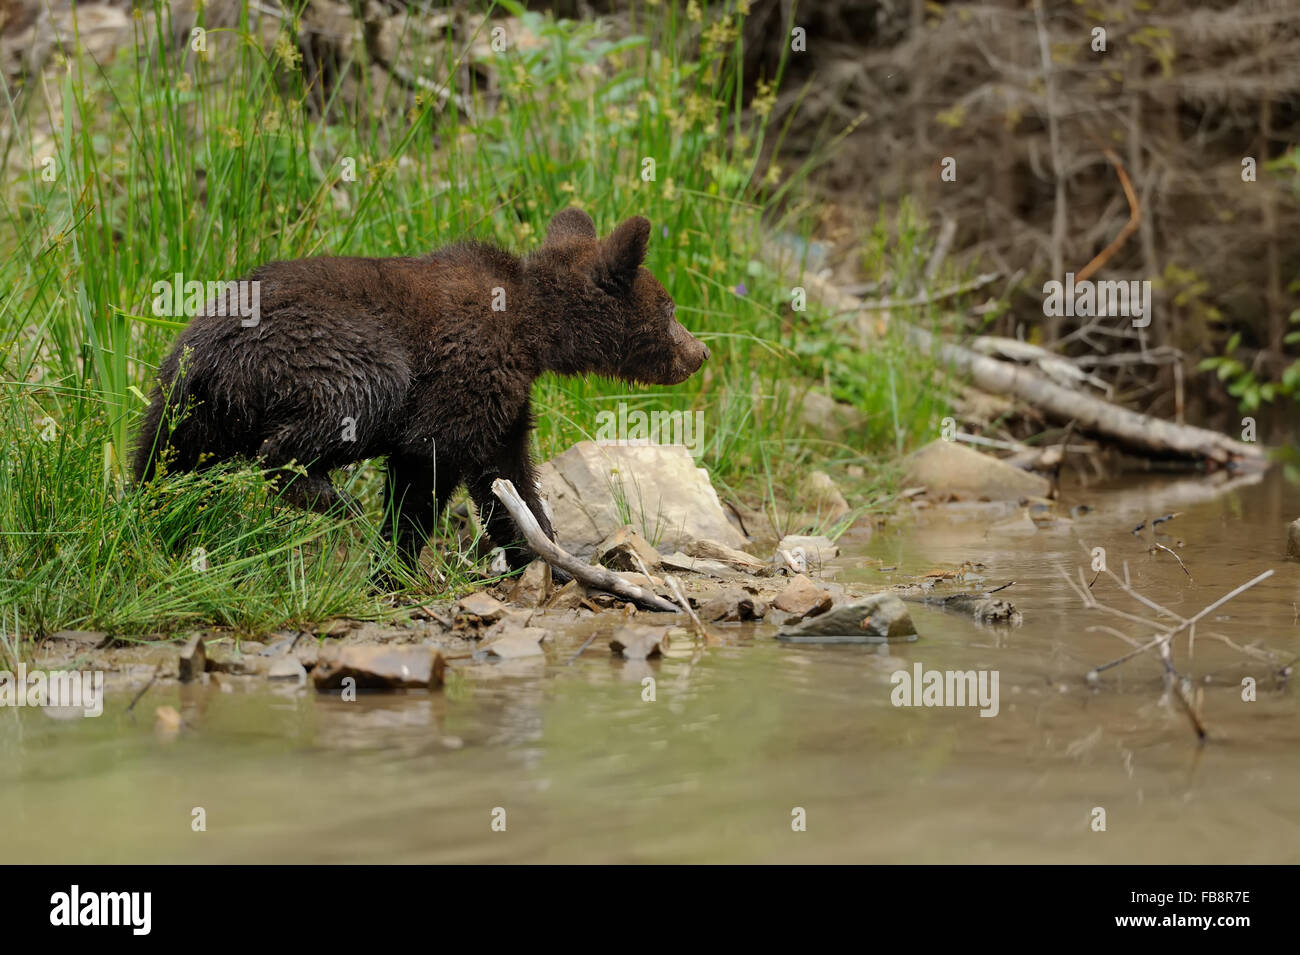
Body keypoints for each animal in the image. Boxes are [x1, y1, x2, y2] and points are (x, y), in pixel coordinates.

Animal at [133, 207, 710, 578]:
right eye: (670, 310)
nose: (700, 352)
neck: (532, 332)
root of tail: (213, 356)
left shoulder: (505, 397)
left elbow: (507, 477)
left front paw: (545, 552)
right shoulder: (465, 369)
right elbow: (428, 458)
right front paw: (397, 561)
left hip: (182, 397)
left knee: (162, 460)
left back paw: (154, 516)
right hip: (318, 349)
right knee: (346, 400)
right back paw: (329, 497)